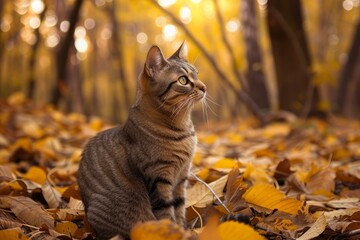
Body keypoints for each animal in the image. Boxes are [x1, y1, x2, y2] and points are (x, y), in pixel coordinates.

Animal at [77, 42, 207, 239]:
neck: (182, 127)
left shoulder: (182, 175)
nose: (204, 87)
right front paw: (174, 232)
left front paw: (183, 229)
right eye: (183, 80)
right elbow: (166, 212)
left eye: (197, 74)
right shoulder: (158, 176)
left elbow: (179, 207)